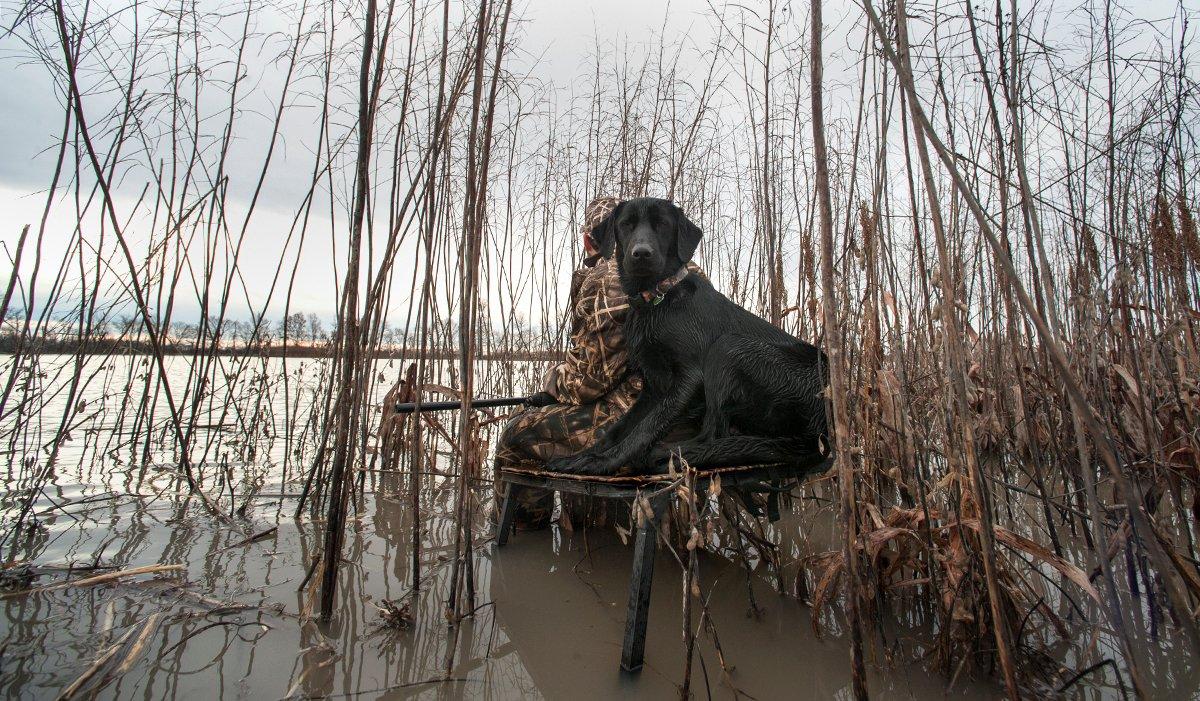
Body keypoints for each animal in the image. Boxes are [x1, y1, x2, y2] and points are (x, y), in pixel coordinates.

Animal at [549, 195, 830, 475]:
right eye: (626, 224)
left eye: (662, 224)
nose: (641, 253)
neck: (657, 301)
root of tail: (822, 429)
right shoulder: (653, 386)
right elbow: (619, 428)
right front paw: (585, 454)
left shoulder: (690, 379)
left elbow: (646, 428)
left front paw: (601, 462)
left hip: (729, 347)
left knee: (713, 434)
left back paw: (663, 456)